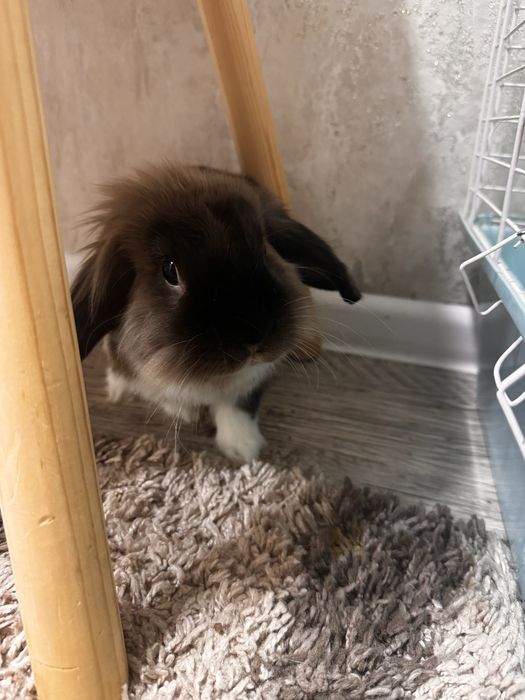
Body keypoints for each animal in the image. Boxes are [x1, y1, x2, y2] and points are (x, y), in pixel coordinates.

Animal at [71, 164, 360, 462]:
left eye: (264, 249)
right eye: (169, 271)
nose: (255, 334)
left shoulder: (251, 380)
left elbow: (238, 404)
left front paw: (243, 449)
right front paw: (186, 413)